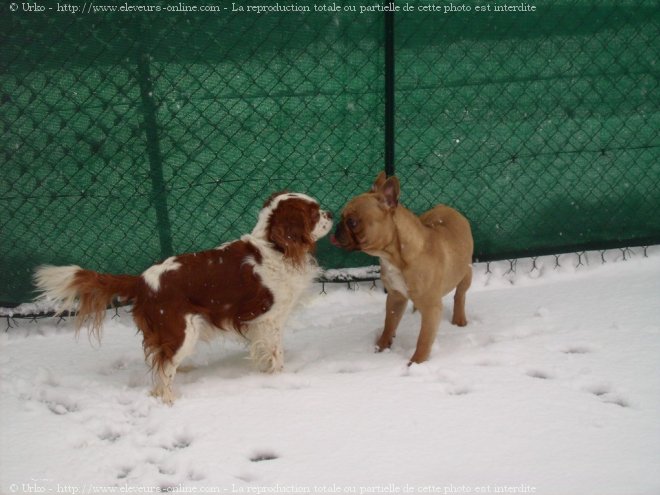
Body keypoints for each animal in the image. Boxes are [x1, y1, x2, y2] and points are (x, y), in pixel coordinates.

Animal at [33, 192, 332, 404]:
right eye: (314, 212)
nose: (329, 212)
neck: (275, 246)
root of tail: (141, 280)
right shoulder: (268, 320)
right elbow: (275, 353)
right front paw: (280, 377)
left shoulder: (258, 325)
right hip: (181, 331)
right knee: (164, 368)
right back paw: (170, 401)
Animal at [332, 172, 472, 366]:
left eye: (352, 222)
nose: (337, 228)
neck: (394, 257)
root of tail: (446, 208)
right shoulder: (395, 297)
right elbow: (389, 324)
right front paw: (381, 348)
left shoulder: (431, 307)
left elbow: (423, 339)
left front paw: (415, 363)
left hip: (466, 273)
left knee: (460, 295)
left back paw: (459, 319)